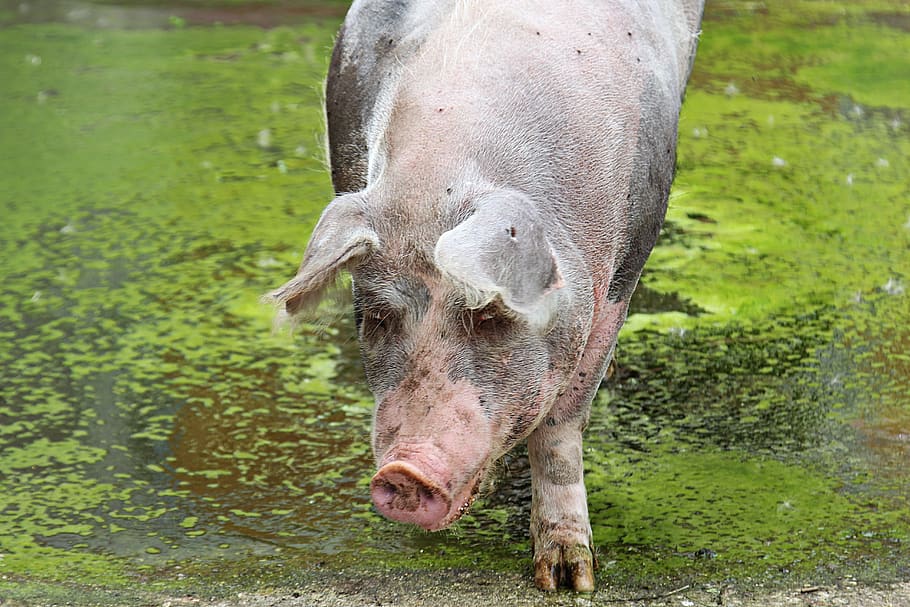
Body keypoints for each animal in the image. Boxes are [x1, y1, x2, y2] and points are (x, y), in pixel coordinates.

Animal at [268, 0, 704, 592]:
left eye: (491, 315)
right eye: (376, 316)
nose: (404, 471)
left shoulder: (622, 274)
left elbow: (560, 429)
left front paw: (568, 579)